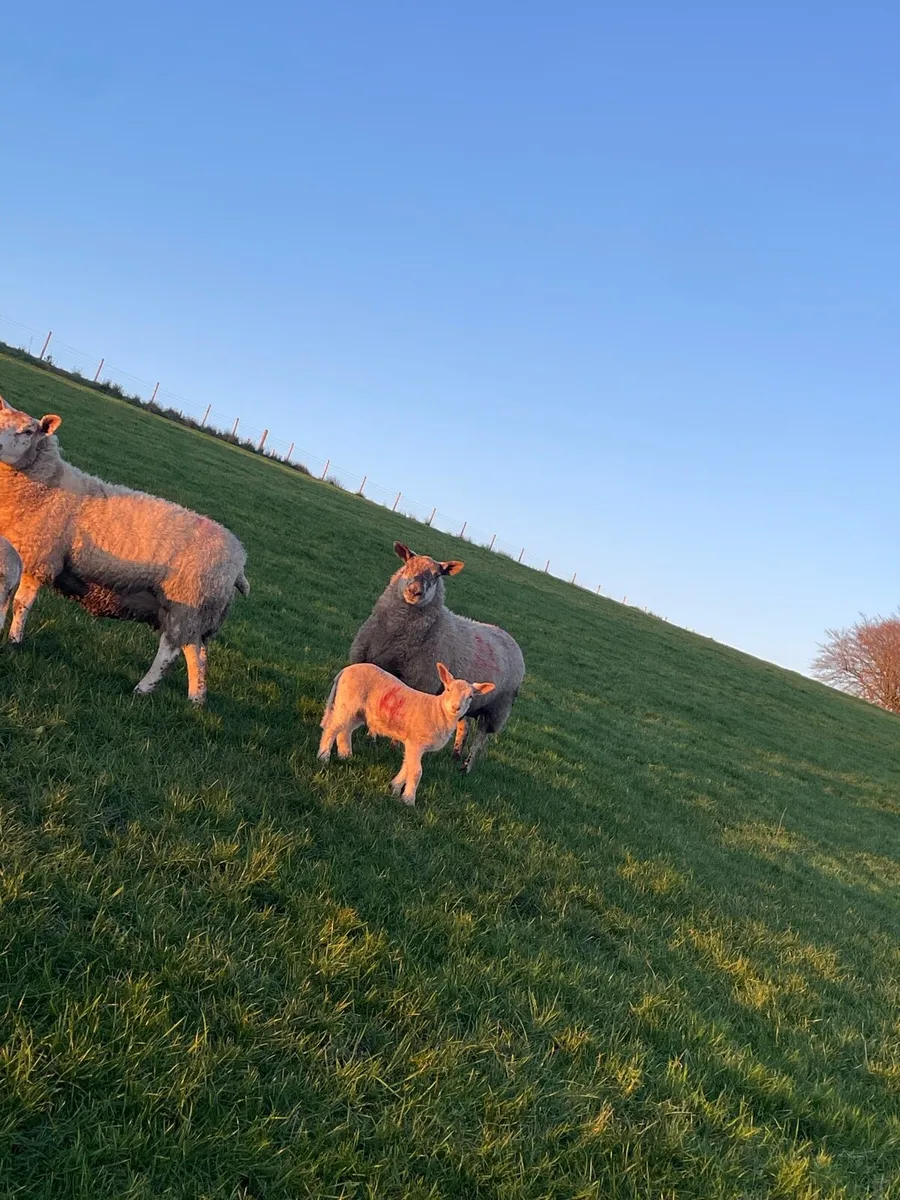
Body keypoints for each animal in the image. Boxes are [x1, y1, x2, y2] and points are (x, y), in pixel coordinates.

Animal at [0, 394, 249, 703]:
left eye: (28, 431)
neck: (47, 487)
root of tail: (240, 559)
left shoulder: (41, 557)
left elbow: (21, 604)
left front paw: (15, 641)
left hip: (187, 601)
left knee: (170, 650)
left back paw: (143, 689)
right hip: (197, 612)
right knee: (197, 653)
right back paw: (196, 700)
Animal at [318, 660, 495, 804]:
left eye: (470, 697)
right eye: (448, 689)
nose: (456, 707)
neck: (437, 711)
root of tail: (346, 670)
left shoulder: (413, 744)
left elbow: (408, 766)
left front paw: (395, 788)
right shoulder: (416, 742)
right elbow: (416, 771)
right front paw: (409, 799)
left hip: (358, 711)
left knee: (345, 730)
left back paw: (345, 755)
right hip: (348, 701)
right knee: (333, 727)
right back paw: (323, 756)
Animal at [348, 541, 525, 772]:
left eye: (436, 575)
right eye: (408, 565)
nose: (415, 591)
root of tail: (508, 636)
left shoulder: (420, 682)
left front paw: (394, 746)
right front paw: (371, 738)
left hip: (497, 708)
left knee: (480, 738)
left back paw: (466, 767)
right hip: (469, 700)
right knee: (464, 726)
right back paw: (456, 755)